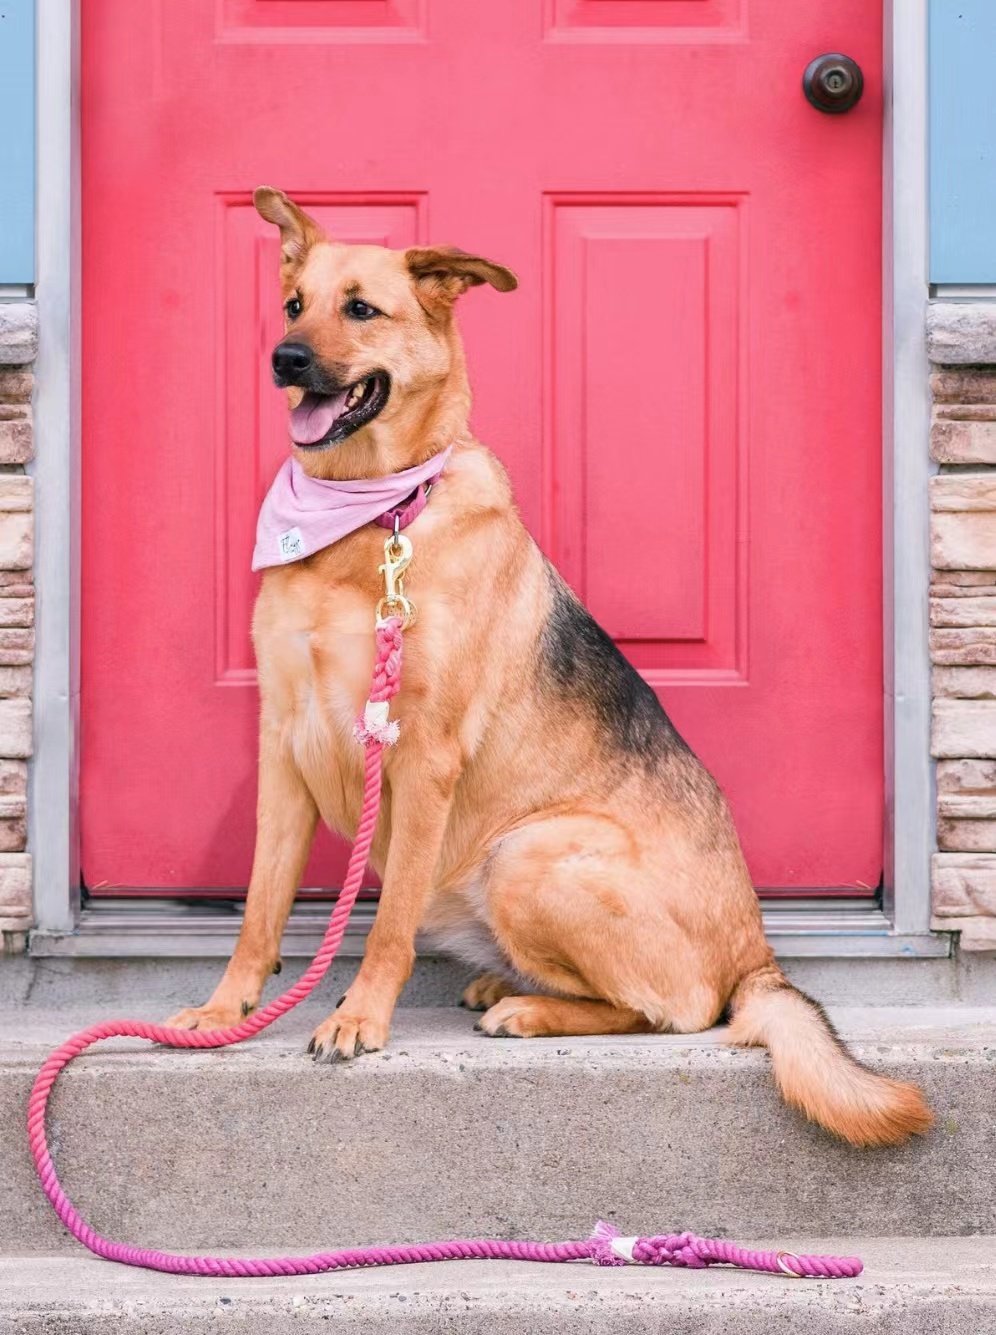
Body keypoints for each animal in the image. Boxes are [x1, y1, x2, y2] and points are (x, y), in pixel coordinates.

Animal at [164, 185, 929, 1148]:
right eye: (295, 304)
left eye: (362, 310)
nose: (285, 360)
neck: (369, 520)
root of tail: (758, 950)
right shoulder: (285, 746)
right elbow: (259, 910)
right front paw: (224, 1009)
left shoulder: (421, 754)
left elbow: (388, 923)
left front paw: (359, 1017)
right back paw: (510, 982)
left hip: (528, 853)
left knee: (682, 1008)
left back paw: (527, 1008)